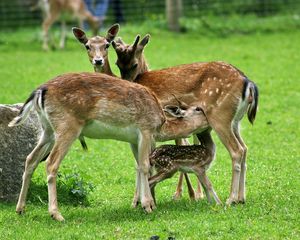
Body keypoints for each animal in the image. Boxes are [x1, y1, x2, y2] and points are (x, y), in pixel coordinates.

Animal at [8, 71, 210, 221]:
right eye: (199, 109)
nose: (212, 122)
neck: (160, 125)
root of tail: (40, 91)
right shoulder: (145, 130)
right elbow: (145, 166)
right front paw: (147, 206)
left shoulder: (134, 140)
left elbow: (139, 166)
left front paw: (141, 204)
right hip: (67, 126)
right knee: (51, 163)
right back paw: (56, 214)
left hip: (47, 130)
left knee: (30, 159)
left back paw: (20, 209)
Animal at [111, 34, 258, 205]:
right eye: (117, 63)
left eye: (134, 64)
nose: (126, 83)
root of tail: (248, 83)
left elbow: (141, 162)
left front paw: (140, 201)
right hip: (236, 122)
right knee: (245, 148)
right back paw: (241, 198)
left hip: (220, 117)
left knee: (236, 150)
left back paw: (230, 199)